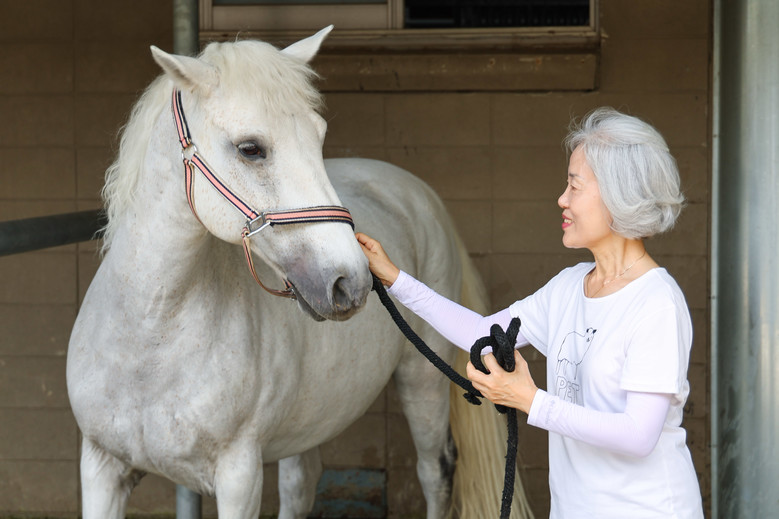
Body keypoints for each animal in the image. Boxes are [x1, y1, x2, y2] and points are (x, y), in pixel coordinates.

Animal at [66, 26, 531, 519]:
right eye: (250, 149)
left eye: (319, 136)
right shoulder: (100, 469)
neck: (150, 340)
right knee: (301, 482)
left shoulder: (238, 477)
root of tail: (421, 194)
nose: (351, 282)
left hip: (422, 382)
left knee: (434, 471)